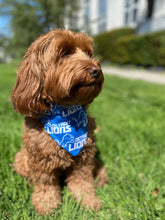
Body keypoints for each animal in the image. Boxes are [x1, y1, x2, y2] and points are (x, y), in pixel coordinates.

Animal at [11, 29, 107, 215]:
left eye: (88, 53)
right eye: (65, 52)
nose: (96, 70)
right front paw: (46, 205)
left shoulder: (84, 157)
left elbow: (83, 182)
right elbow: (46, 185)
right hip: (21, 158)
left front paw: (88, 202)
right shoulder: (41, 160)